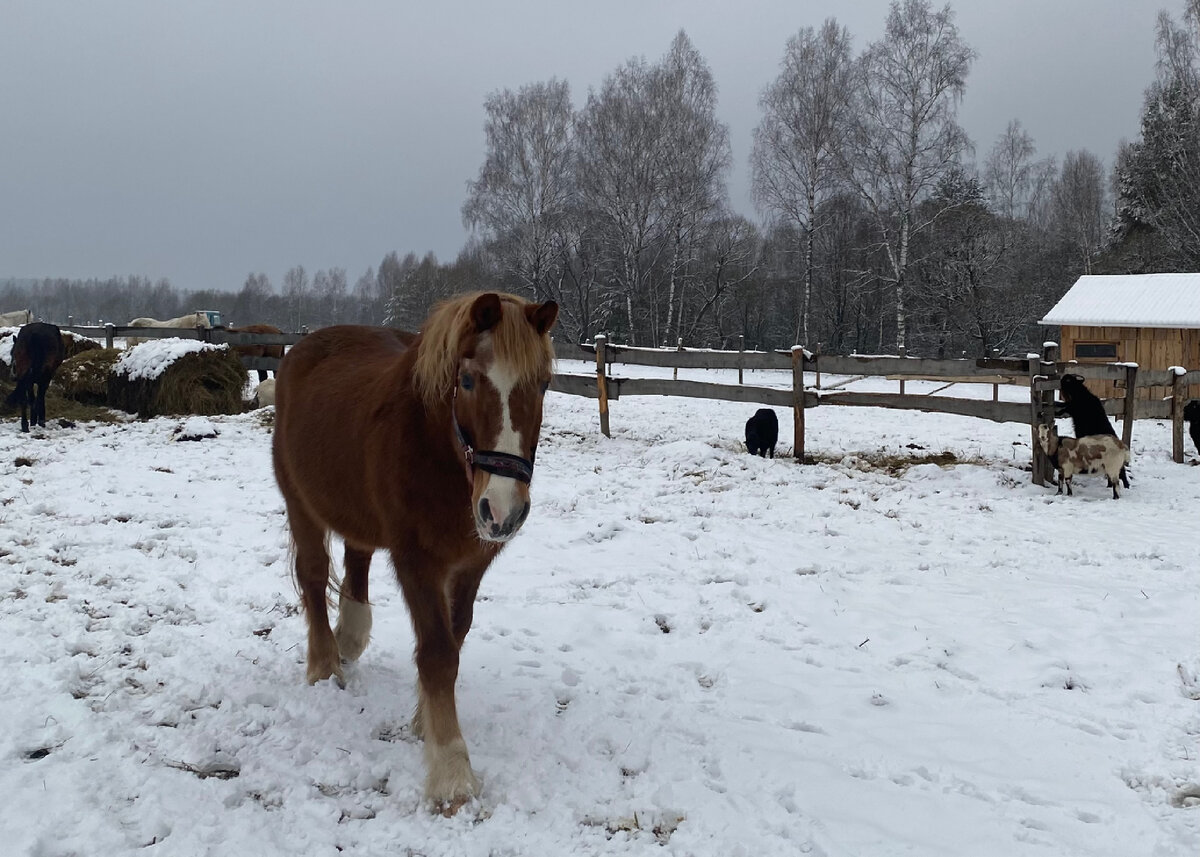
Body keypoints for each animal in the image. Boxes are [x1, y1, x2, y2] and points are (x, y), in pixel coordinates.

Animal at [272, 290, 556, 811]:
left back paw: (350, 638)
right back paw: (325, 665)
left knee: (357, 559)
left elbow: (454, 637)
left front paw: (423, 719)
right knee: (313, 573)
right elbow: (438, 653)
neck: (439, 454)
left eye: (543, 384)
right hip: (301, 502)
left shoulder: (470, 565)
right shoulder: (417, 562)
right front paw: (452, 774)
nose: (503, 509)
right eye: (467, 380)